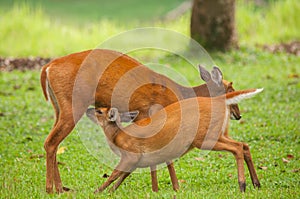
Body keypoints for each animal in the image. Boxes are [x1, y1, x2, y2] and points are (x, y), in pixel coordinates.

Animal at [40, 49, 241, 194]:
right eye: (231, 89)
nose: (238, 115)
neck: (181, 95)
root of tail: (48, 68)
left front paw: (165, 187)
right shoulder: (150, 116)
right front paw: (166, 188)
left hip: (59, 108)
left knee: (54, 143)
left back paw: (60, 188)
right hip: (73, 105)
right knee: (51, 142)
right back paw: (51, 189)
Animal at [86, 88, 262, 194]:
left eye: (99, 111)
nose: (88, 110)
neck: (117, 136)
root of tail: (220, 100)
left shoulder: (132, 154)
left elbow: (114, 174)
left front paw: (97, 192)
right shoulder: (140, 159)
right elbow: (123, 175)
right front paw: (110, 192)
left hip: (205, 139)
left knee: (237, 147)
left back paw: (242, 185)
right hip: (220, 133)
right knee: (245, 145)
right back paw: (256, 183)